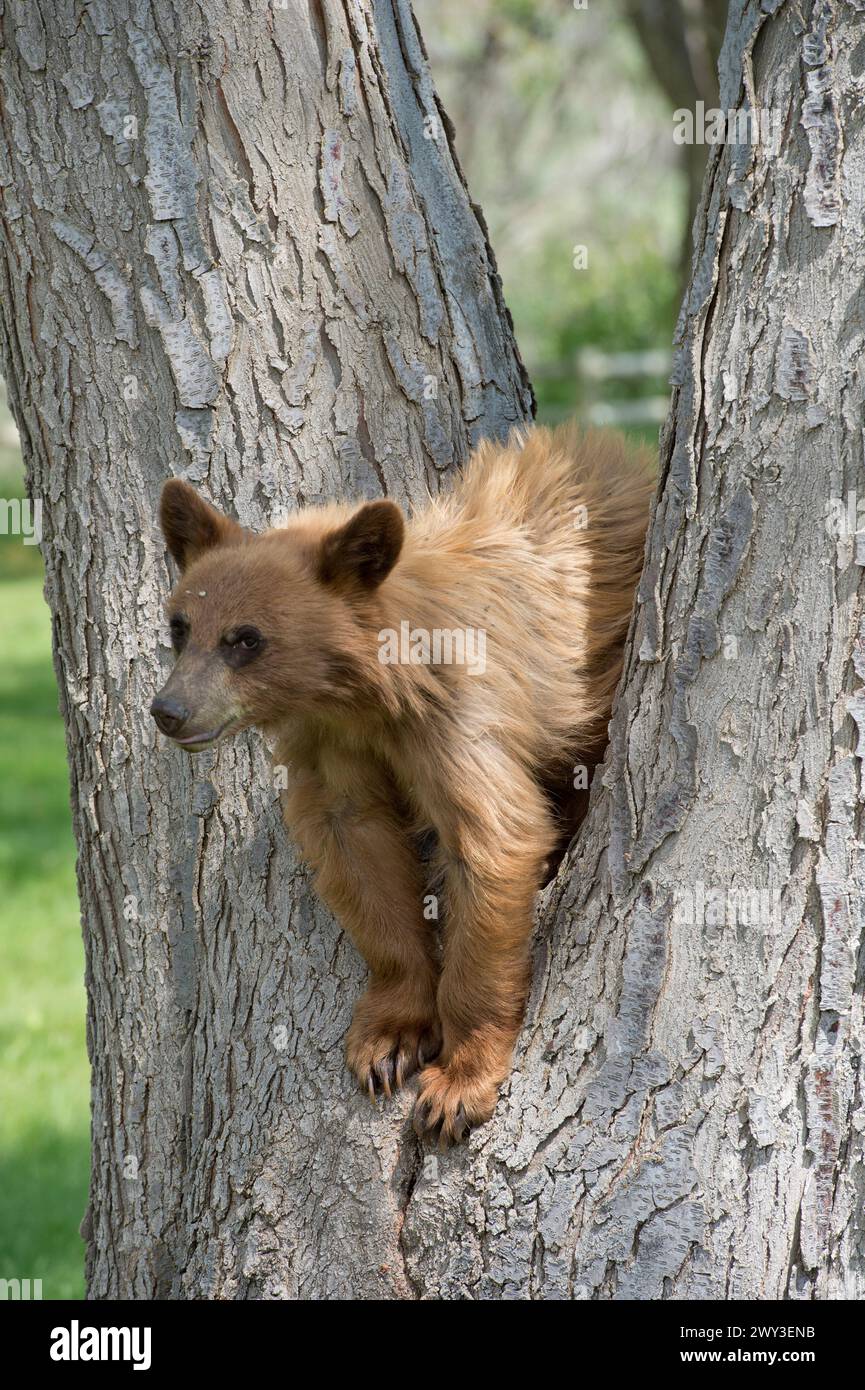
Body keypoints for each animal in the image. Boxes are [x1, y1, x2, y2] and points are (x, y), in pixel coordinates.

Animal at [151, 423, 653, 1144]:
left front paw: (458, 1083)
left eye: (246, 639)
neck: (366, 696)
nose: (170, 711)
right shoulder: (332, 749)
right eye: (180, 626)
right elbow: (354, 848)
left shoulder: (458, 721)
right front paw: (388, 1038)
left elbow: (492, 841)